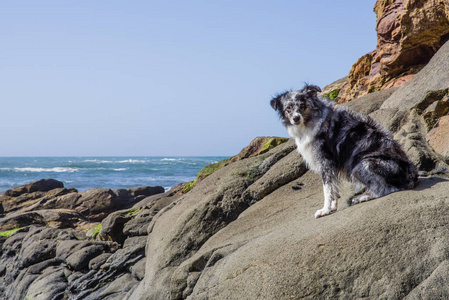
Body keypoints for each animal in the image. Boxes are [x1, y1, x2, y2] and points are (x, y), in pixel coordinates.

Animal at [270, 84, 416, 218]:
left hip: (362, 164)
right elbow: (334, 188)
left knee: (386, 189)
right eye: (288, 108)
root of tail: (412, 176)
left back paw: (364, 197)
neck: (312, 120)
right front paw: (333, 207)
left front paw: (325, 210)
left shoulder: (325, 161)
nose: (296, 118)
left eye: (302, 105)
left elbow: (327, 188)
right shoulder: (331, 165)